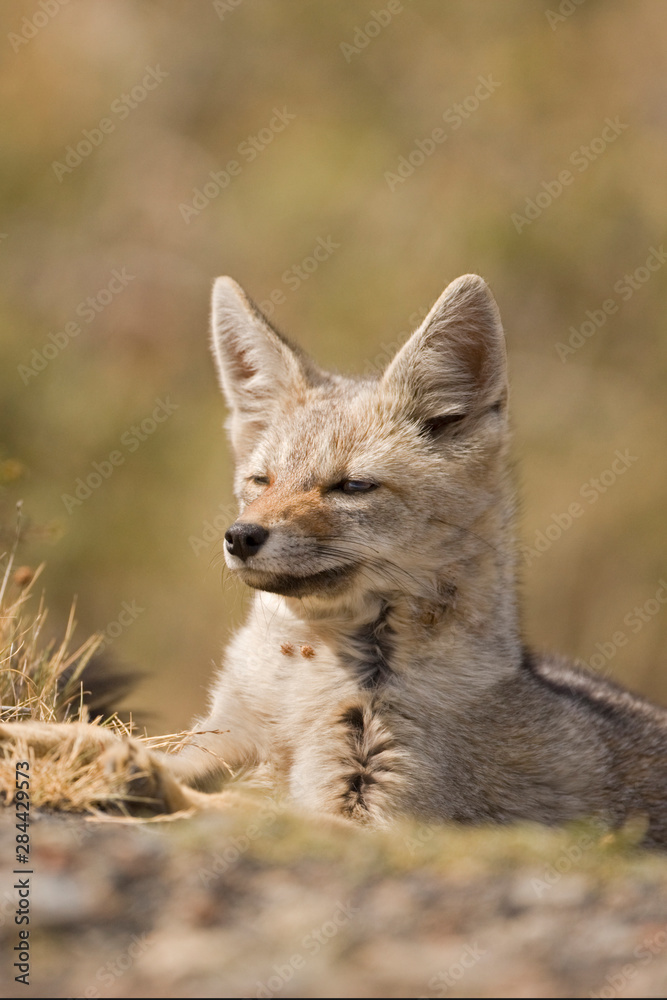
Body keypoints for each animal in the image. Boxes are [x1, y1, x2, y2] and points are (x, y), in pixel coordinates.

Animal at [1, 274, 667, 844]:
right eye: (261, 481)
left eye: (351, 487)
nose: (241, 536)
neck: (307, 671)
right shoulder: (226, 739)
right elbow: (119, 744)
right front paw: (36, 740)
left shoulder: (376, 811)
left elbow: (233, 807)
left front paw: (132, 775)